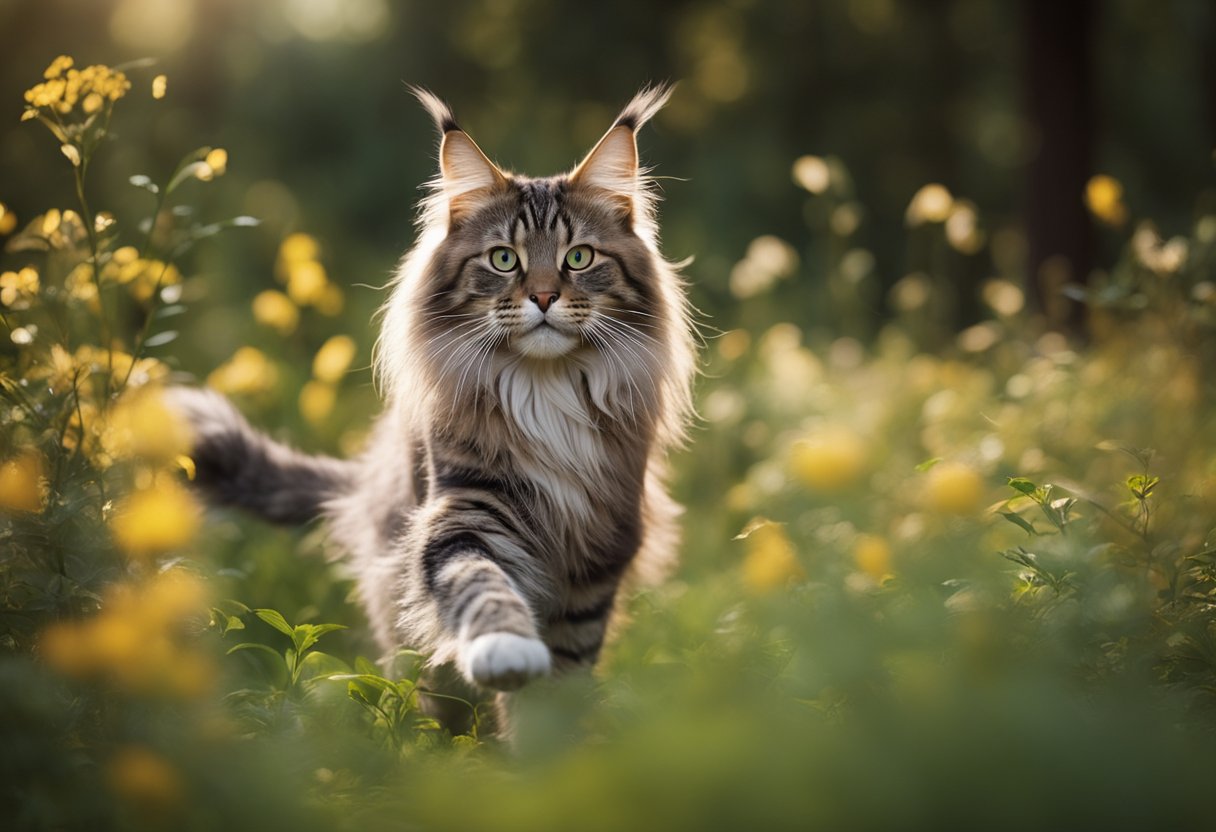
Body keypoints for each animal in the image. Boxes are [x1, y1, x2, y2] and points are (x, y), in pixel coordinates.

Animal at [171, 81, 695, 724]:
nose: (544, 297)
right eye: (504, 259)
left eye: (579, 257)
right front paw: (507, 651)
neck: (544, 391)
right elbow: (482, 584)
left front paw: (547, 738)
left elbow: (562, 679)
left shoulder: (599, 548)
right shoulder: (466, 508)